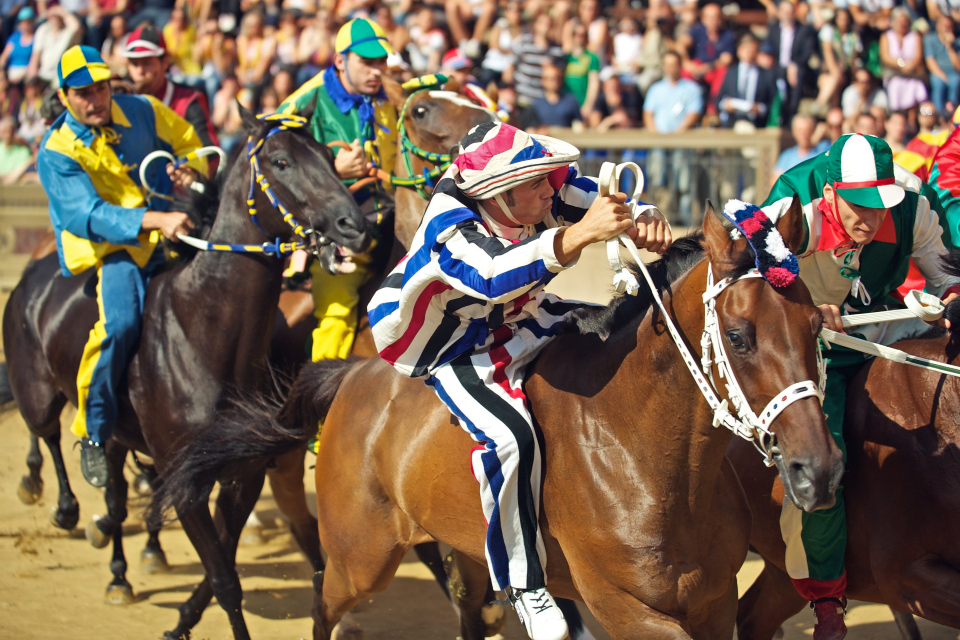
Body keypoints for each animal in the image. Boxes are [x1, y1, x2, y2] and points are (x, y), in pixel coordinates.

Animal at [0, 102, 372, 636]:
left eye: (326, 153)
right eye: (281, 161)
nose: (354, 225)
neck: (204, 334)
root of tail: (34, 272)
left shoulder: (242, 475)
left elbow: (224, 564)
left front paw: (180, 618)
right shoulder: (187, 481)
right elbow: (225, 581)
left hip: (120, 433)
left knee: (114, 495)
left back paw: (119, 569)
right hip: (38, 390)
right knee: (47, 433)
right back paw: (62, 503)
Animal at [154, 200, 844, 640]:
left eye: (816, 324)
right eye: (740, 335)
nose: (819, 470)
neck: (644, 456)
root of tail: (350, 378)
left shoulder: (712, 600)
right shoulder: (627, 609)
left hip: (460, 551)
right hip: (361, 557)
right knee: (325, 606)